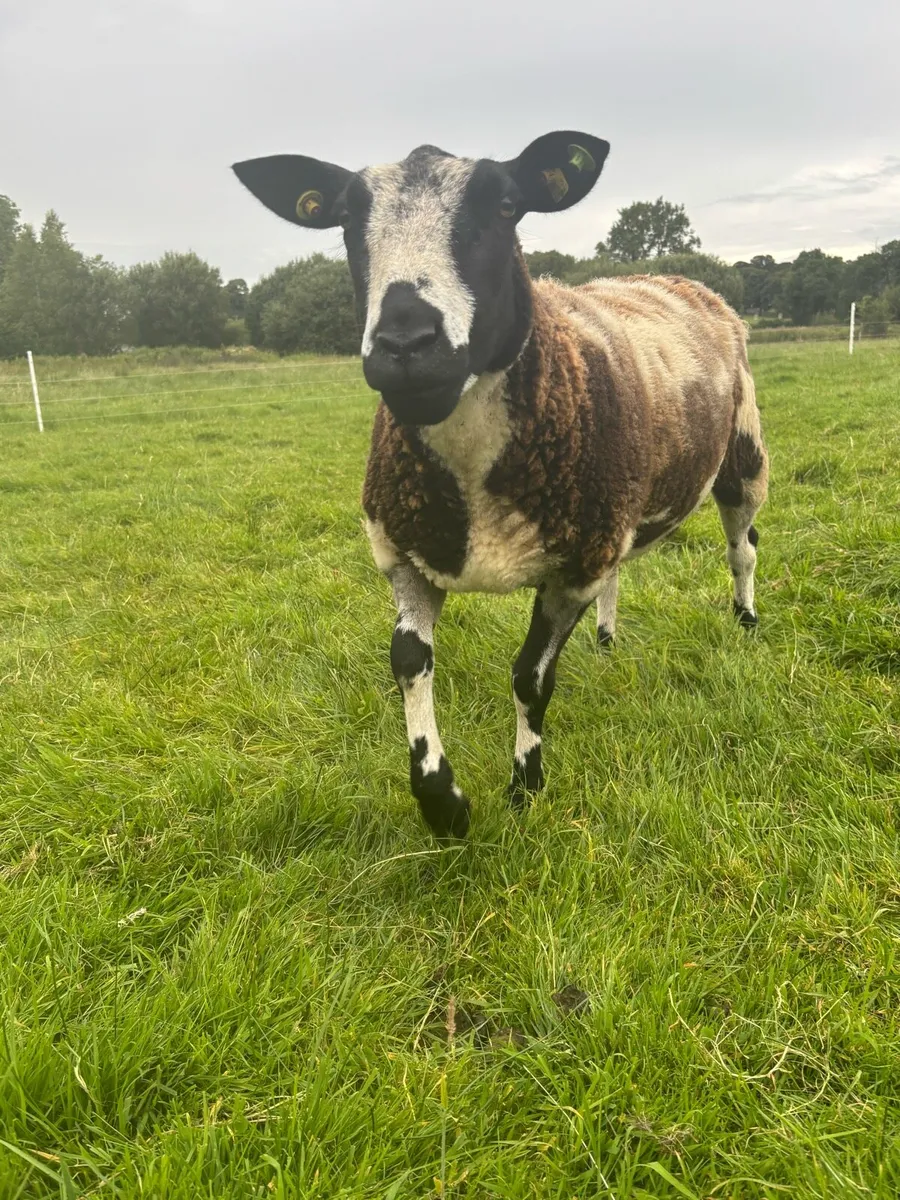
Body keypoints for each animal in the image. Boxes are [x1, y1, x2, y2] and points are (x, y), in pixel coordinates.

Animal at [233, 132, 768, 839]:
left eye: (509, 205)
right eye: (345, 218)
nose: (407, 345)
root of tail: (668, 277)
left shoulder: (570, 571)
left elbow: (529, 680)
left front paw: (525, 788)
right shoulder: (406, 556)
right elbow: (407, 662)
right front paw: (443, 804)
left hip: (741, 458)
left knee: (743, 549)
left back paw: (746, 620)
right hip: (617, 506)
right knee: (624, 570)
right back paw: (606, 642)